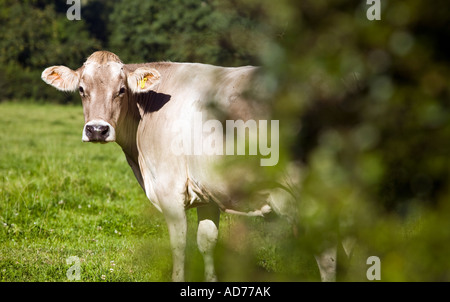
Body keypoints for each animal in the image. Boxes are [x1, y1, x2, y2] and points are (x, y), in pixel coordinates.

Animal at [41, 51, 338, 280]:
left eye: (121, 90)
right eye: (82, 90)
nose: (97, 130)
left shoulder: (169, 191)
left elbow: (179, 245)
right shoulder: (208, 191)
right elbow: (207, 242)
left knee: (328, 252)